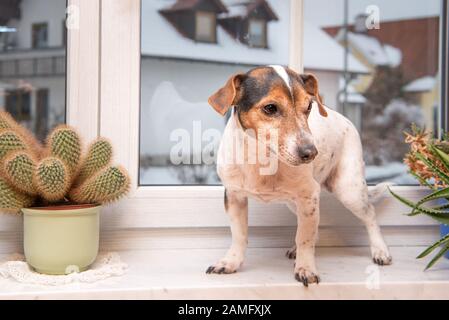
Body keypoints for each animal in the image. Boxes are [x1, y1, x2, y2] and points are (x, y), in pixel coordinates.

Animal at [205, 65, 390, 288]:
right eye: (270, 108)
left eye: (309, 106)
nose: (311, 153)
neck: (263, 160)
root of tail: (345, 118)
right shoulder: (234, 197)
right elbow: (239, 235)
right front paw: (230, 262)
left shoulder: (308, 196)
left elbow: (304, 238)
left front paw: (306, 268)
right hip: (296, 203)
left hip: (349, 191)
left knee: (370, 215)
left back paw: (380, 250)